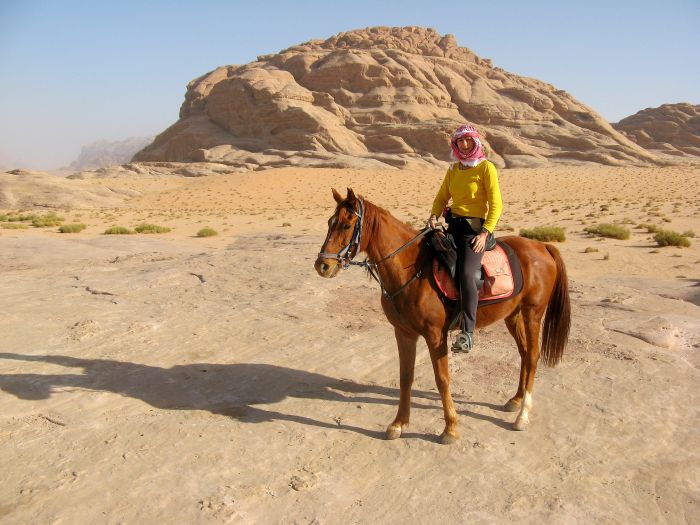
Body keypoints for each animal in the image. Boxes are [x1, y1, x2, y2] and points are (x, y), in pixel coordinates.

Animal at [314, 187, 572, 442]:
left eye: (346, 225)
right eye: (329, 222)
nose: (322, 266)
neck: (413, 271)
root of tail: (542, 247)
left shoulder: (435, 335)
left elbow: (442, 379)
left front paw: (450, 428)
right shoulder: (404, 333)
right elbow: (405, 376)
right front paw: (398, 424)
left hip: (532, 313)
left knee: (533, 356)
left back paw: (522, 416)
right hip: (513, 315)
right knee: (524, 353)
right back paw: (515, 400)